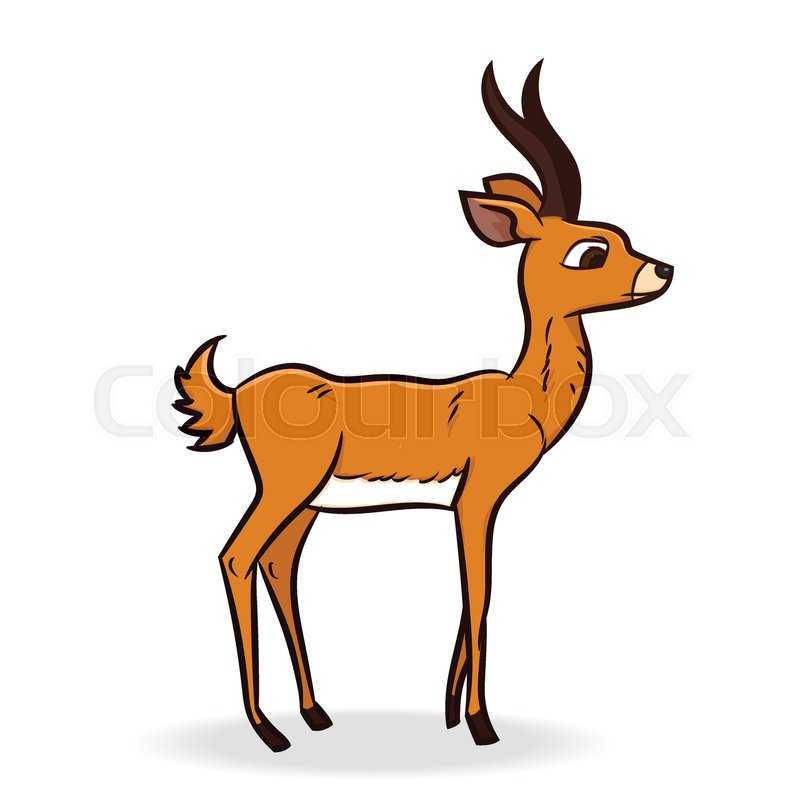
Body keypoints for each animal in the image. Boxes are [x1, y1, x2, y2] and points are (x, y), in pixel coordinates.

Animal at [175, 60, 673, 752]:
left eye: (621, 236)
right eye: (591, 251)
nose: (664, 270)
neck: (520, 395)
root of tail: (237, 393)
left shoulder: (473, 507)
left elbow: (471, 600)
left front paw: (449, 713)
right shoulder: (476, 499)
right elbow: (480, 594)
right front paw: (482, 726)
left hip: (307, 505)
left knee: (277, 565)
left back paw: (315, 714)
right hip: (283, 490)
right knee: (235, 558)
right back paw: (268, 731)